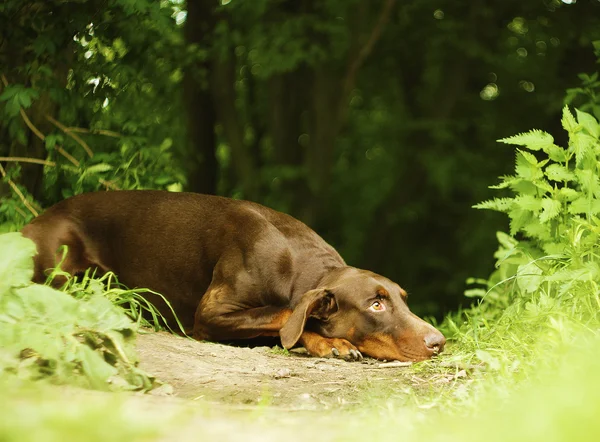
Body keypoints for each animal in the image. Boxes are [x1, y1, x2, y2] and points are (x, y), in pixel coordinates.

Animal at [22, 189, 446, 360]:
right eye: (375, 305)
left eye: (403, 300)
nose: (439, 342)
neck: (298, 268)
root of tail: (32, 222)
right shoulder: (210, 315)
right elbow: (285, 314)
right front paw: (331, 343)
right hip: (61, 264)